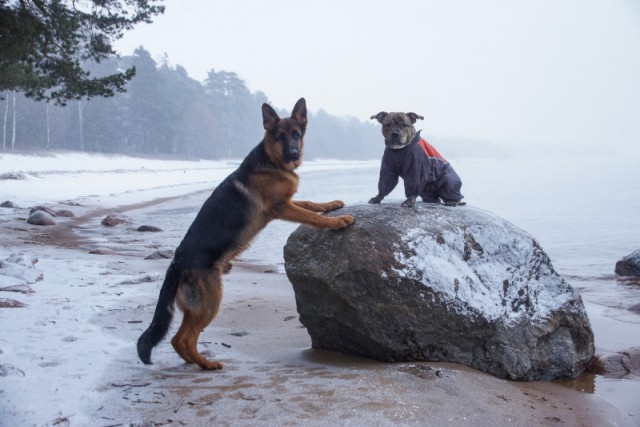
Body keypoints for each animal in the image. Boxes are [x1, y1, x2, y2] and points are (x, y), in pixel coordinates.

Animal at [138, 98, 356, 372]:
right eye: (280, 136)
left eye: (296, 134)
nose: (293, 153)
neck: (271, 161)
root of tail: (175, 264)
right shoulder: (281, 208)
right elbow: (311, 216)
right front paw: (336, 221)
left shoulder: (287, 203)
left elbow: (309, 203)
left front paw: (331, 204)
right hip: (211, 301)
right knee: (183, 339)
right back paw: (208, 364)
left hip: (199, 306)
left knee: (179, 339)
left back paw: (195, 361)